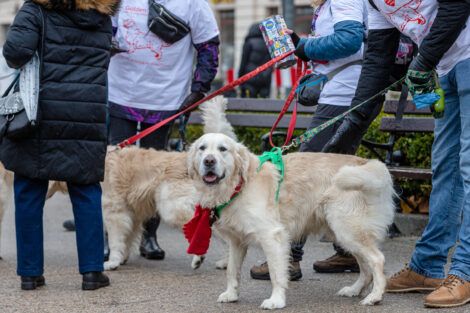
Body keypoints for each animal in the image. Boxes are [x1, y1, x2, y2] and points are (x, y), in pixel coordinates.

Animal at [187, 133, 396, 308]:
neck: (239, 185)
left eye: (223, 149)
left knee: (377, 260)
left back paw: (375, 296)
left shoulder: (272, 236)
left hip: (347, 230)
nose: (209, 161)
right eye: (202, 148)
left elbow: (276, 273)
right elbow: (232, 271)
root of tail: (368, 162)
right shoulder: (236, 241)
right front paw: (231, 294)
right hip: (343, 234)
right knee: (365, 268)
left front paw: (276, 300)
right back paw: (354, 290)